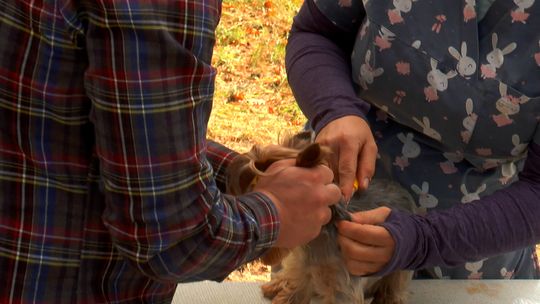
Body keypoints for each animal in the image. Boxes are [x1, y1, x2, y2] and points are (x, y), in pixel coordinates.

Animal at [226, 132, 416, 304]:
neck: (316, 240)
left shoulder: (342, 287)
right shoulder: (303, 267)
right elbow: (296, 288)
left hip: (399, 267)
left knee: (397, 283)